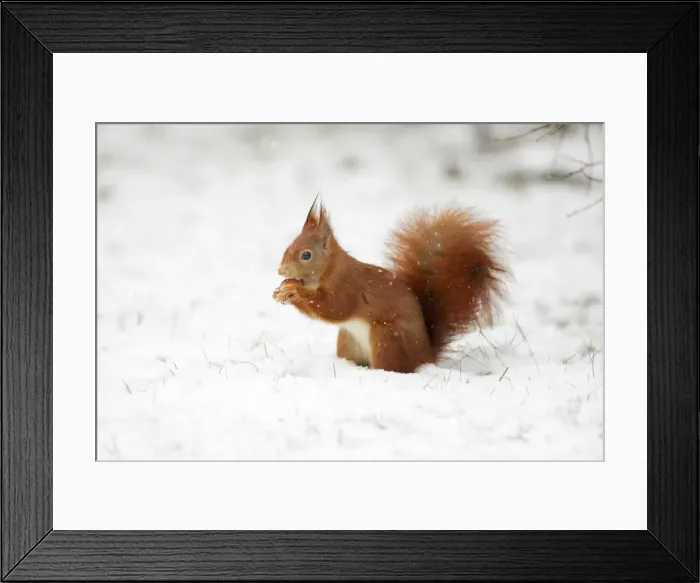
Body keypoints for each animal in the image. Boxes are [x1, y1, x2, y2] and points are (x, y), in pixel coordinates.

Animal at [273, 196, 508, 374]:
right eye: (288, 247)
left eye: (306, 255)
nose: (281, 270)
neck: (329, 270)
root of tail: (426, 357)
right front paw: (283, 289)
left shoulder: (347, 287)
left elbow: (333, 308)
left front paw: (294, 290)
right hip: (348, 341)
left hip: (387, 340)